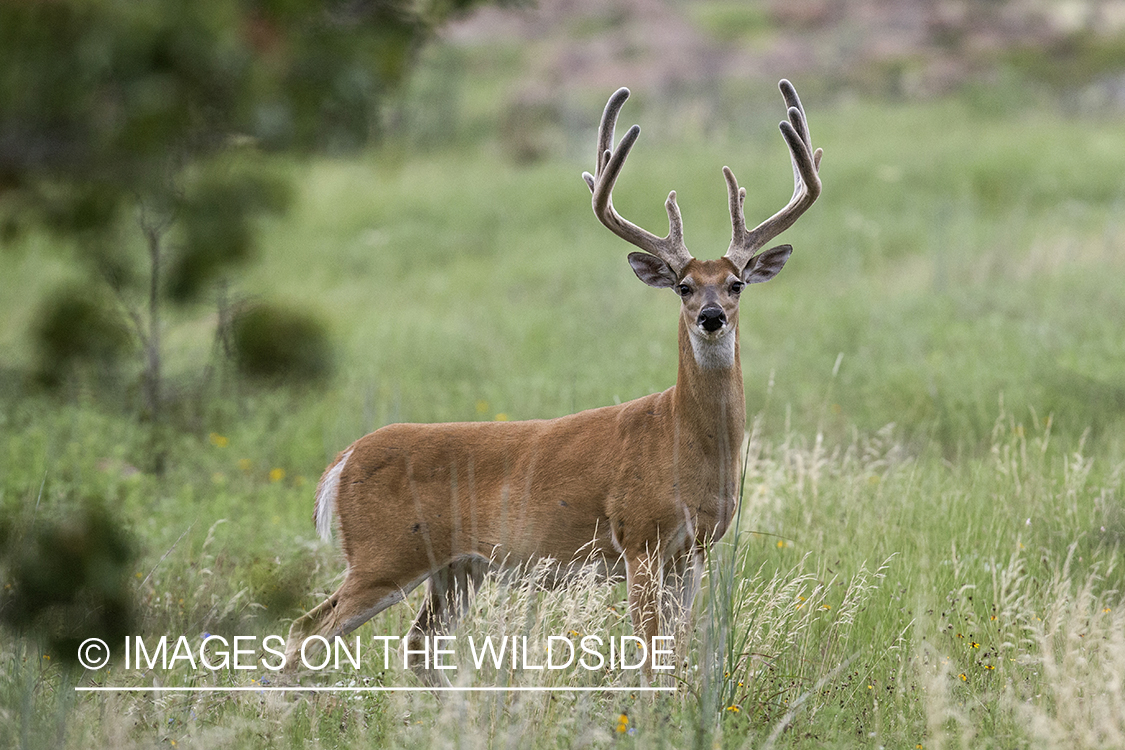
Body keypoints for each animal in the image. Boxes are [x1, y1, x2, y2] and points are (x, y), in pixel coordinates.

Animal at [285, 79, 823, 683]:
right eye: (683, 287)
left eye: (736, 284)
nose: (711, 317)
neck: (685, 439)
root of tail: (342, 461)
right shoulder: (640, 537)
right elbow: (649, 654)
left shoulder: (695, 551)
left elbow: (678, 650)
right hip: (384, 554)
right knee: (305, 630)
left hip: (456, 568)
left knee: (416, 645)